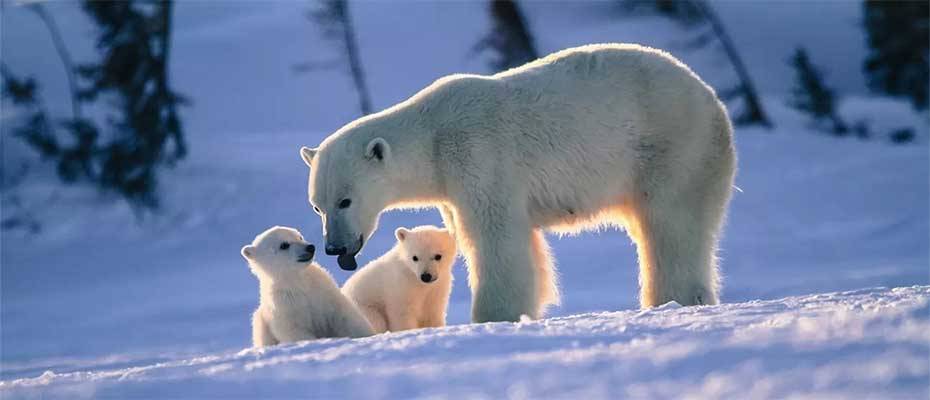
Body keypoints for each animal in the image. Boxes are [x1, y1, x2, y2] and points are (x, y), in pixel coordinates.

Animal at [243, 227, 374, 346]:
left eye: (299, 236)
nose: (310, 247)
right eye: (284, 245)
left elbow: (343, 316)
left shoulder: (324, 291)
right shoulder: (285, 305)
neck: (298, 282)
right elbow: (295, 330)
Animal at [300, 43, 736, 324]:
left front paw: (493, 317)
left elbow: (494, 237)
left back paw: (675, 298)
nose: (335, 247)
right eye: (317, 205)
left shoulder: (478, 155)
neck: (434, 136)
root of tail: (711, 98)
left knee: (670, 224)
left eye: (345, 201)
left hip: (672, 145)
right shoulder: (451, 188)